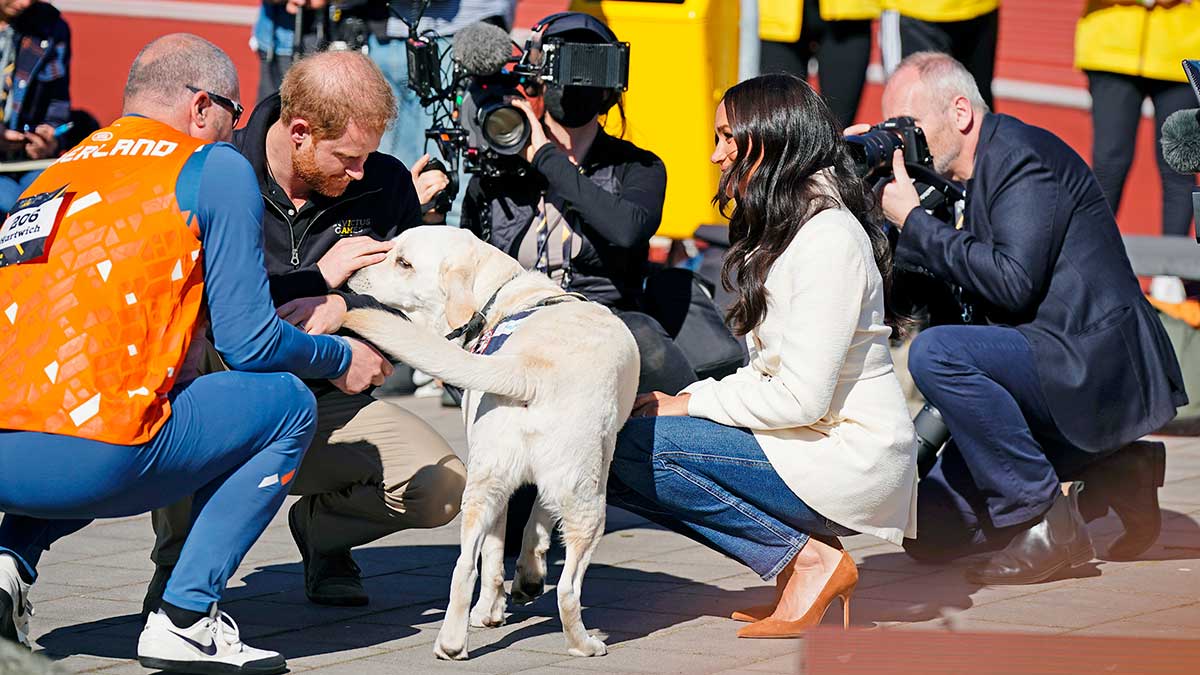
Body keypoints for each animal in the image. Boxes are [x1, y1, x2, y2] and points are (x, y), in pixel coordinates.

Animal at [340, 225, 638, 658]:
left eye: (403, 261)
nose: (350, 274)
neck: (500, 295)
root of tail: (528, 369)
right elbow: (537, 521)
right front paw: (527, 579)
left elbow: (501, 547)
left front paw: (493, 606)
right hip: (589, 502)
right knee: (567, 588)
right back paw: (583, 644)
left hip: (484, 486)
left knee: (466, 565)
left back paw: (452, 642)